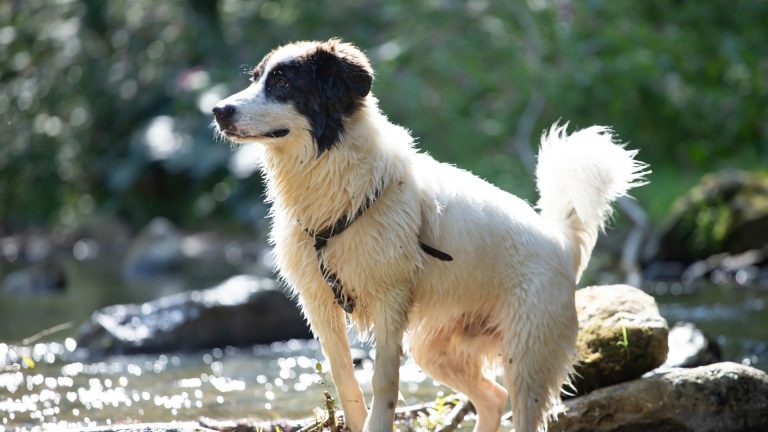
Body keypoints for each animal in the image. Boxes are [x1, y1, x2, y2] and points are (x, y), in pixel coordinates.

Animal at [214, 38, 648, 430]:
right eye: (256, 78)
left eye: (283, 82)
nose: (219, 110)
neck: (336, 180)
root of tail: (561, 243)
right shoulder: (319, 302)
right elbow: (345, 379)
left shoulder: (390, 300)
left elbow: (383, 382)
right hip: (435, 349)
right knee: (492, 397)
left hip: (527, 355)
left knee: (518, 406)